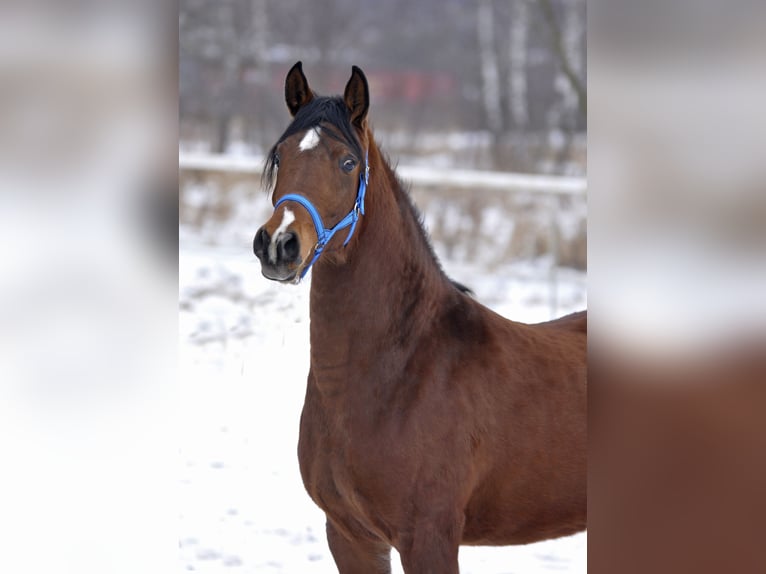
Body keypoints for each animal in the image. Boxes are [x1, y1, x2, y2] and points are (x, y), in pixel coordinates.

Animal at [253, 61, 586, 574]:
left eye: (347, 163)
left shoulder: (428, 537)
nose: (279, 244)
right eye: (280, 155)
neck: (399, 373)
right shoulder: (349, 536)